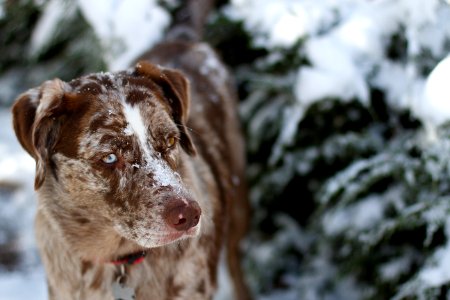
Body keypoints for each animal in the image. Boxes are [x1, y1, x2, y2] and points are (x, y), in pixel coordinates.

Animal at [10, 1, 251, 298]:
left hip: (238, 204)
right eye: (110, 157)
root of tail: (180, 37)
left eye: (170, 142)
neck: (118, 260)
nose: (190, 216)